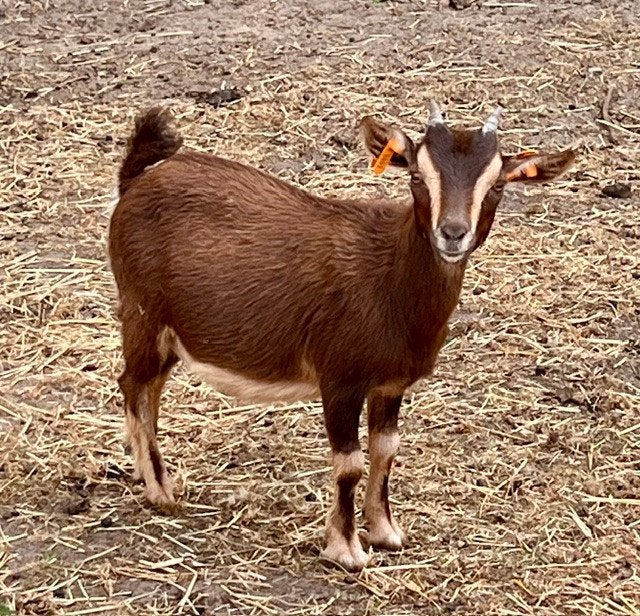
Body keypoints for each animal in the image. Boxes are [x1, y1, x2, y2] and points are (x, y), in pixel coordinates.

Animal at [108, 104, 575, 571]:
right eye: (416, 176)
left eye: (497, 184)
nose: (453, 233)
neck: (389, 279)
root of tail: (135, 181)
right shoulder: (339, 380)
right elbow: (348, 464)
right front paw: (346, 549)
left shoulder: (390, 384)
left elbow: (386, 448)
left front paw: (385, 531)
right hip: (143, 314)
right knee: (132, 384)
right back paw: (160, 491)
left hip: (169, 334)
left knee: (148, 388)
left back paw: (145, 472)